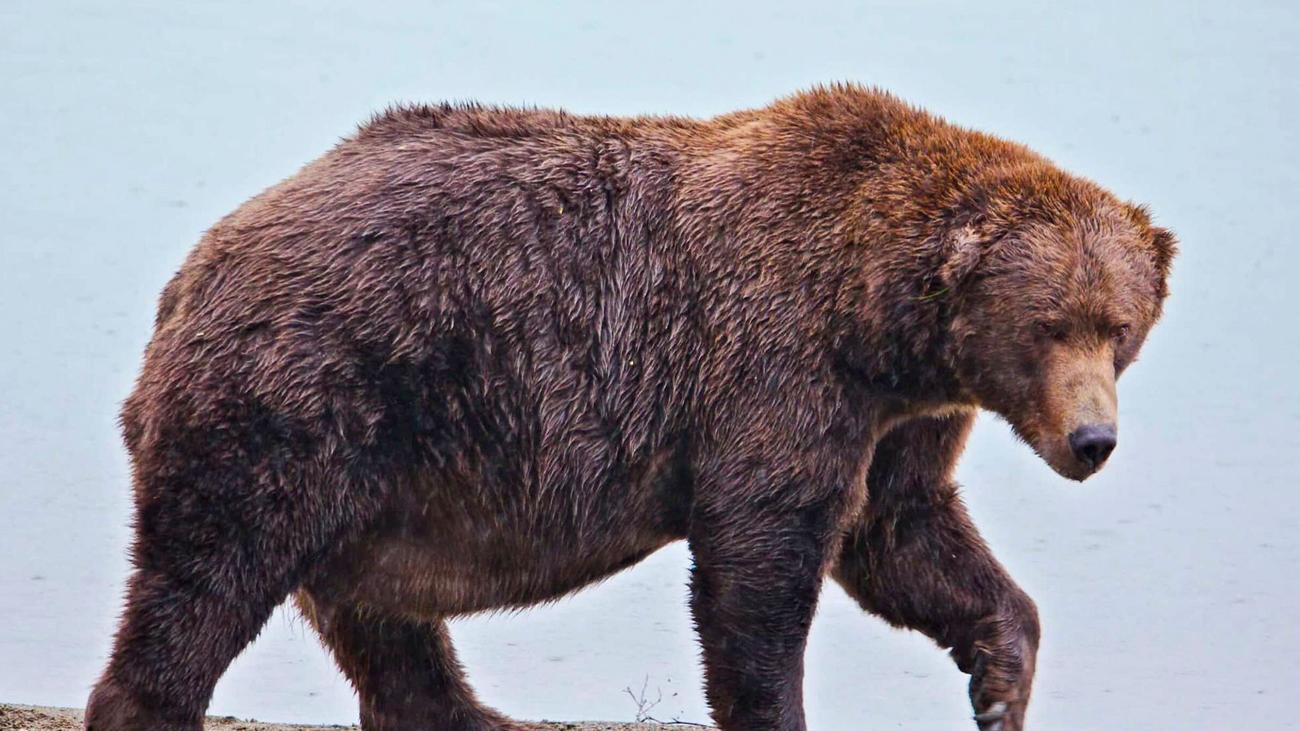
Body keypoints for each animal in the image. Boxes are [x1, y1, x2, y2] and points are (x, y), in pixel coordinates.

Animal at [86, 85, 1175, 728]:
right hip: (303, 394)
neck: (880, 317)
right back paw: (150, 700)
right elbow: (762, 558)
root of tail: (188, 274)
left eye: (1118, 326)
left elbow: (903, 534)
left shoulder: (900, 415)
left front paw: (1000, 678)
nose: (1093, 439)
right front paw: (775, 704)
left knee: (379, 616)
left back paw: (473, 715)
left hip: (376, 466)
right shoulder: (773, 362)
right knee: (208, 576)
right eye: (1049, 325)